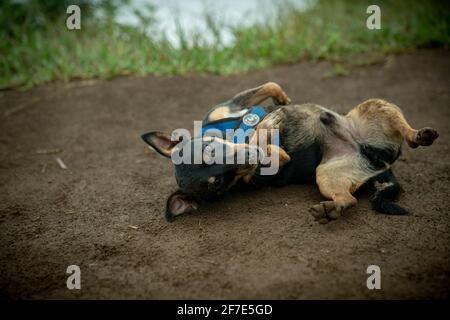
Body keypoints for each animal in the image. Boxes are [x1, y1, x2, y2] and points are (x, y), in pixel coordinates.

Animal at [142, 82, 440, 222]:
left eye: (210, 149)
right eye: (216, 184)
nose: (250, 159)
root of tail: (377, 160)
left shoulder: (228, 105)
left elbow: (269, 87)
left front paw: (280, 102)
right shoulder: (270, 161)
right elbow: (266, 142)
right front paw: (267, 128)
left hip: (373, 107)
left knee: (405, 129)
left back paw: (419, 134)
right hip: (326, 174)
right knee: (349, 200)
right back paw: (330, 211)